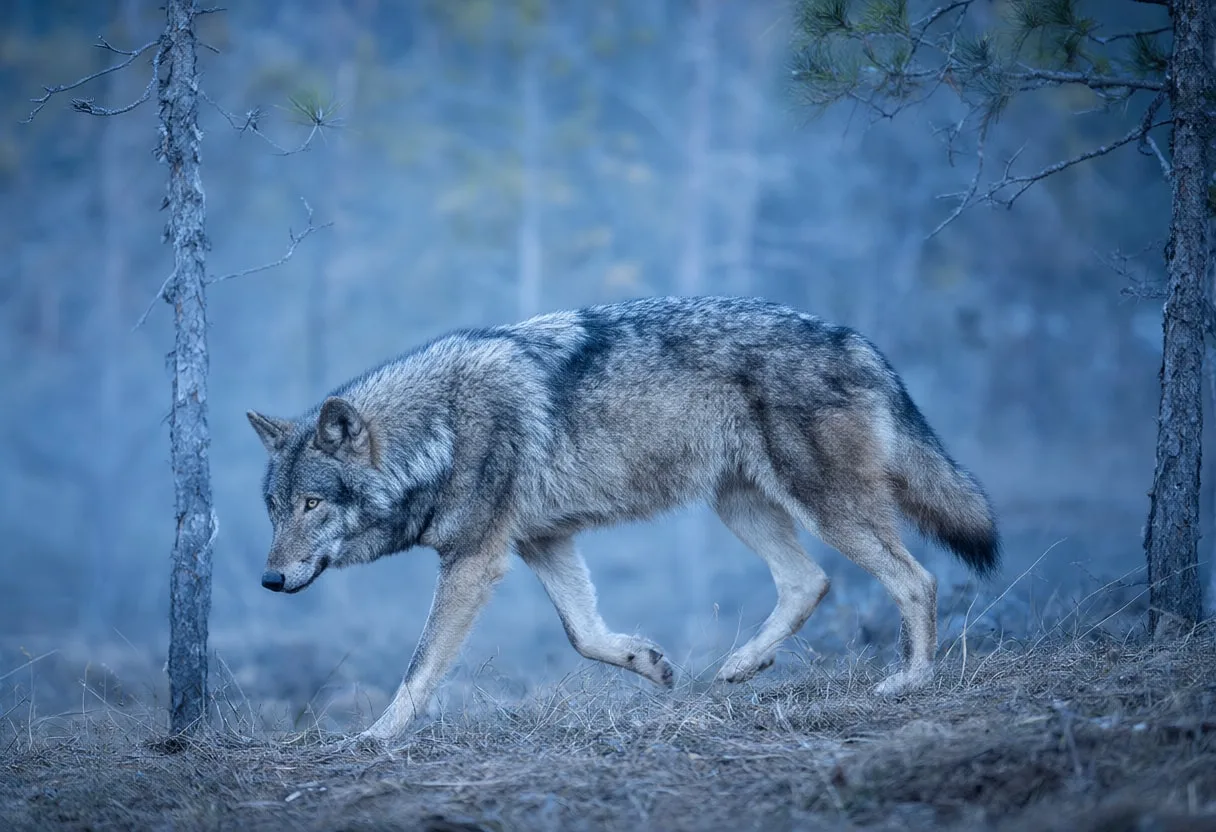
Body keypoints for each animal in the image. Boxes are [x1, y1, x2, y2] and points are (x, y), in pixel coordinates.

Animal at [247, 296, 999, 741]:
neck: (440, 430)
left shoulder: (475, 560)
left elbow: (421, 664)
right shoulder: (545, 542)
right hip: (738, 504)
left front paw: (377, 737)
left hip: (821, 506)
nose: (270, 580)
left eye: (313, 505)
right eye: (275, 509)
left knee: (917, 580)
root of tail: (856, 339)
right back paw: (742, 665)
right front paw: (649, 663)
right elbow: (583, 635)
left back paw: (910, 681)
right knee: (808, 581)